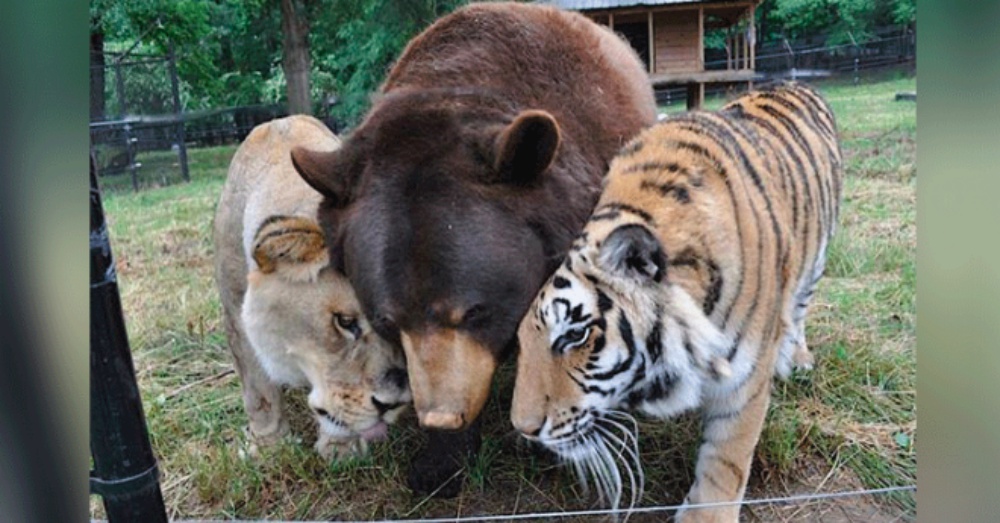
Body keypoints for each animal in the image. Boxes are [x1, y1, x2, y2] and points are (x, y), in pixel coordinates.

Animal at [213, 114, 412, 458]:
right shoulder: (235, 311)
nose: (394, 404)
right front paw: (268, 446)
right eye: (345, 322)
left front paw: (341, 448)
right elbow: (258, 390)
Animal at [508, 81, 844, 520]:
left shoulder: (745, 380)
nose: (524, 429)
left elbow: (726, 459)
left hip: (817, 258)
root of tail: (794, 82)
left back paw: (799, 358)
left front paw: (706, 514)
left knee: (801, 306)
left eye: (574, 336)